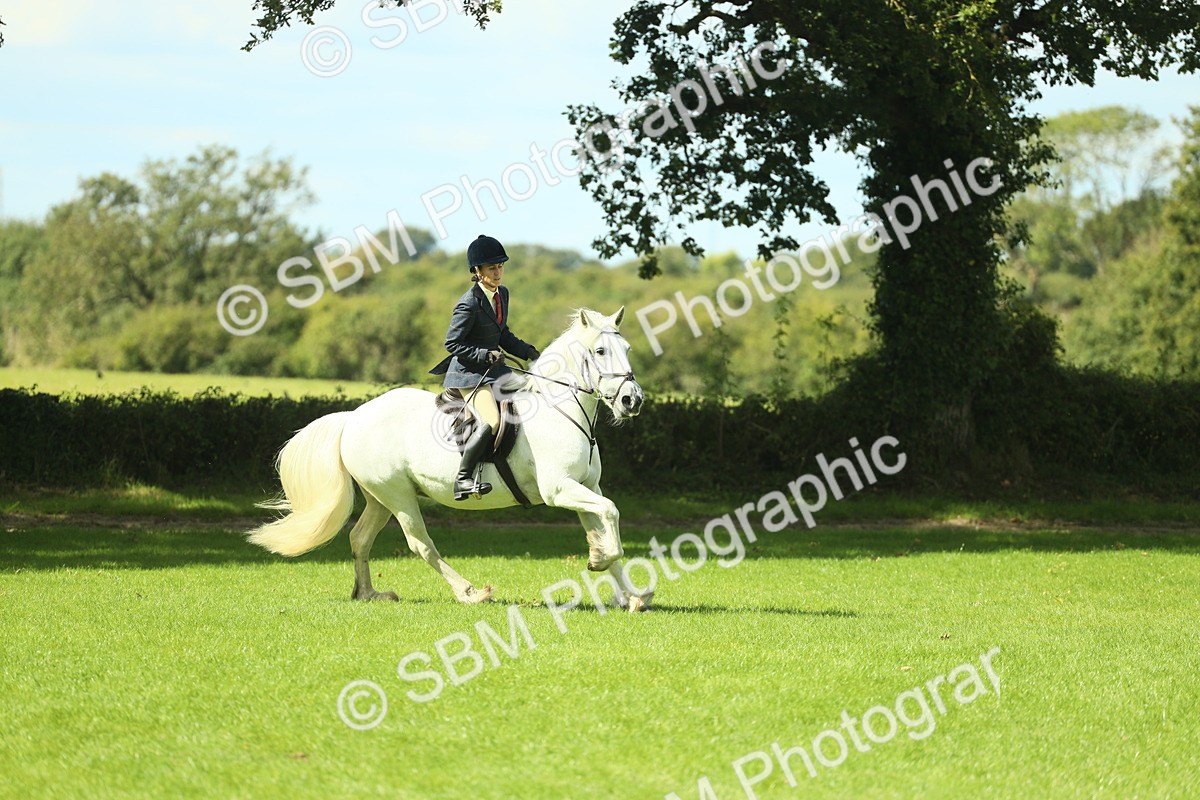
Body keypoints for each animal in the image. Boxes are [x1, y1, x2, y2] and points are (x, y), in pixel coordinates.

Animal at [246, 307, 652, 611]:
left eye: (627, 348)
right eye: (600, 352)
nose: (631, 400)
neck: (560, 410)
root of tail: (352, 418)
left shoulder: (585, 486)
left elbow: (601, 523)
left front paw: (627, 593)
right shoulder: (560, 489)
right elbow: (611, 515)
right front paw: (602, 562)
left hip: (379, 497)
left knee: (360, 538)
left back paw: (369, 594)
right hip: (398, 496)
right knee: (420, 543)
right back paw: (470, 592)